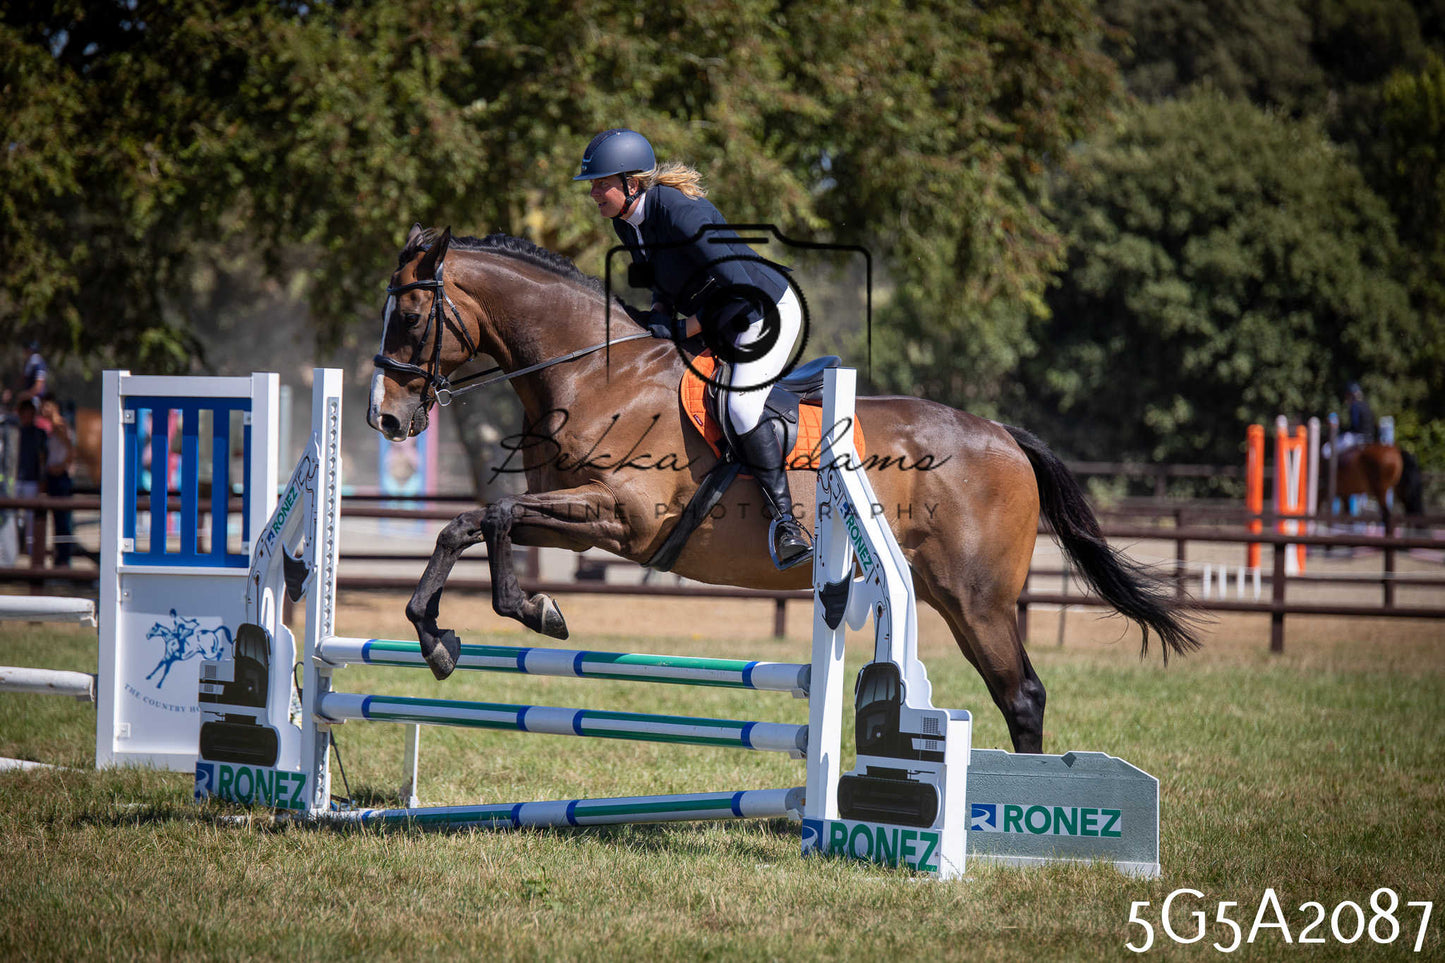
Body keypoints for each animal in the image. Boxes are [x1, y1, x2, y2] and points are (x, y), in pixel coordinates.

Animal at [367, 226, 1202, 754]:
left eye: (409, 312)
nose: (385, 416)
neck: (593, 372)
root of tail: (1000, 433)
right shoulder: (579, 521)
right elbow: (473, 524)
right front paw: (439, 636)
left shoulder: (621, 517)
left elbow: (494, 513)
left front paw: (528, 609)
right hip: (943, 593)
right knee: (1012, 691)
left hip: (978, 596)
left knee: (1021, 693)